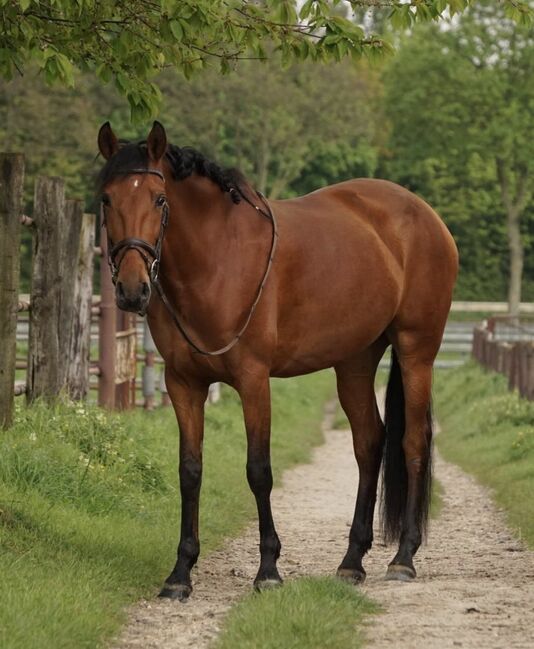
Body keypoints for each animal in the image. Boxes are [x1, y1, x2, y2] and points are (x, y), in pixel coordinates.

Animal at [97, 120, 460, 596]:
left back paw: (403, 557)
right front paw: (180, 573)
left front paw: (268, 569)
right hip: (355, 361)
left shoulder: (253, 379)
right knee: (369, 443)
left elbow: (258, 470)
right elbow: (189, 471)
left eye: (159, 199)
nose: (132, 290)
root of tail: (426, 215)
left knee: (413, 441)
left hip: (416, 350)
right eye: (107, 199)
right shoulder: (183, 383)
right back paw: (352, 561)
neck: (217, 257)